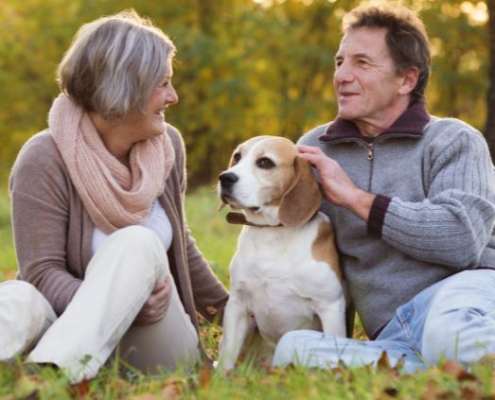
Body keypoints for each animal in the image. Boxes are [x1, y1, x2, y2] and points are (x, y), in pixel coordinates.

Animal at [219, 136, 346, 370]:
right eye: (237, 157)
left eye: (265, 163)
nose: (225, 177)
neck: (271, 233)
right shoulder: (237, 305)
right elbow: (227, 355)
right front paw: (219, 379)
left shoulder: (330, 306)